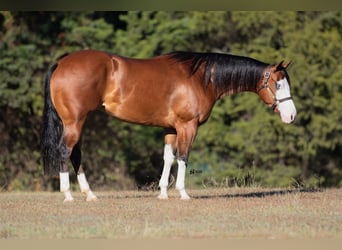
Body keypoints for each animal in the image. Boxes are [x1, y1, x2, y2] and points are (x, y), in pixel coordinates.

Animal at [40, 49, 296, 202]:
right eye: (278, 84)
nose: (292, 115)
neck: (201, 78)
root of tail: (61, 62)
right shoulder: (187, 126)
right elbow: (183, 156)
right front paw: (183, 193)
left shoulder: (171, 129)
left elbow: (168, 158)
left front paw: (163, 192)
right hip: (74, 122)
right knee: (65, 151)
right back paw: (68, 194)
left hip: (79, 122)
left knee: (76, 155)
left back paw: (90, 194)